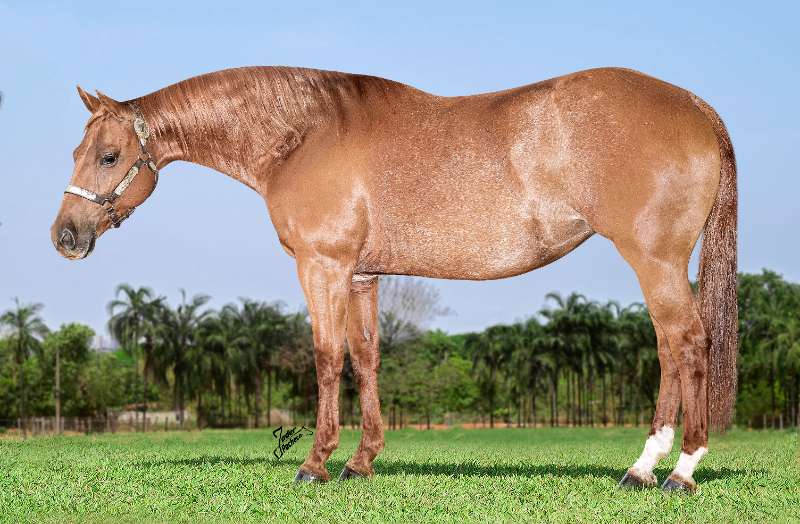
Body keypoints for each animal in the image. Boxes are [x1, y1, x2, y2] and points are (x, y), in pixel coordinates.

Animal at [51, 66, 737, 492]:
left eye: (109, 156)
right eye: (77, 152)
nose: (65, 236)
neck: (304, 136)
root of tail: (697, 108)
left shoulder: (322, 265)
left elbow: (327, 356)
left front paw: (316, 464)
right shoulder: (363, 275)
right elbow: (367, 357)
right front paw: (362, 463)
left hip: (655, 261)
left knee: (685, 344)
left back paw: (674, 471)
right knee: (671, 349)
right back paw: (645, 470)